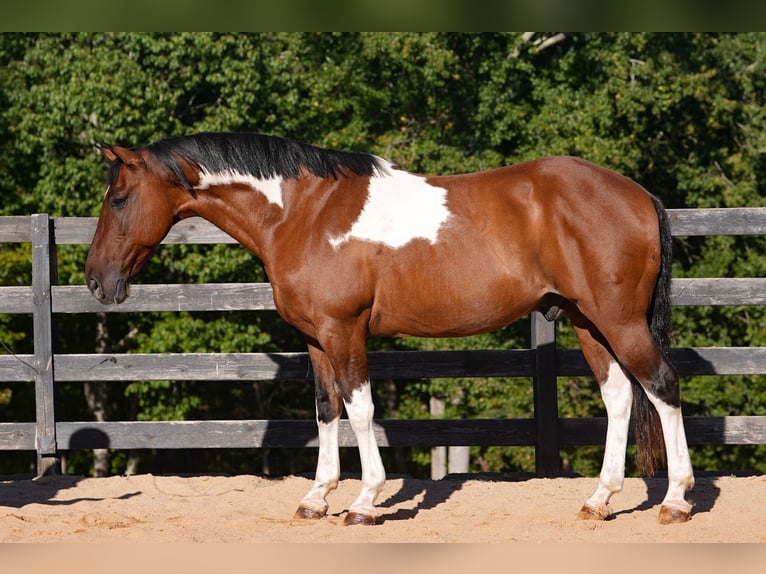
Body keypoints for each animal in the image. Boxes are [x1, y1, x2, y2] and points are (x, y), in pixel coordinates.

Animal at [85, 131, 694, 525]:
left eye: (120, 198)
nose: (96, 281)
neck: (304, 214)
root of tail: (639, 195)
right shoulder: (316, 338)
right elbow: (326, 408)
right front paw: (316, 498)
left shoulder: (344, 330)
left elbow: (360, 409)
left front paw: (363, 502)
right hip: (588, 322)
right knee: (620, 396)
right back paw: (600, 500)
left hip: (618, 321)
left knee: (662, 387)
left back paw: (676, 501)